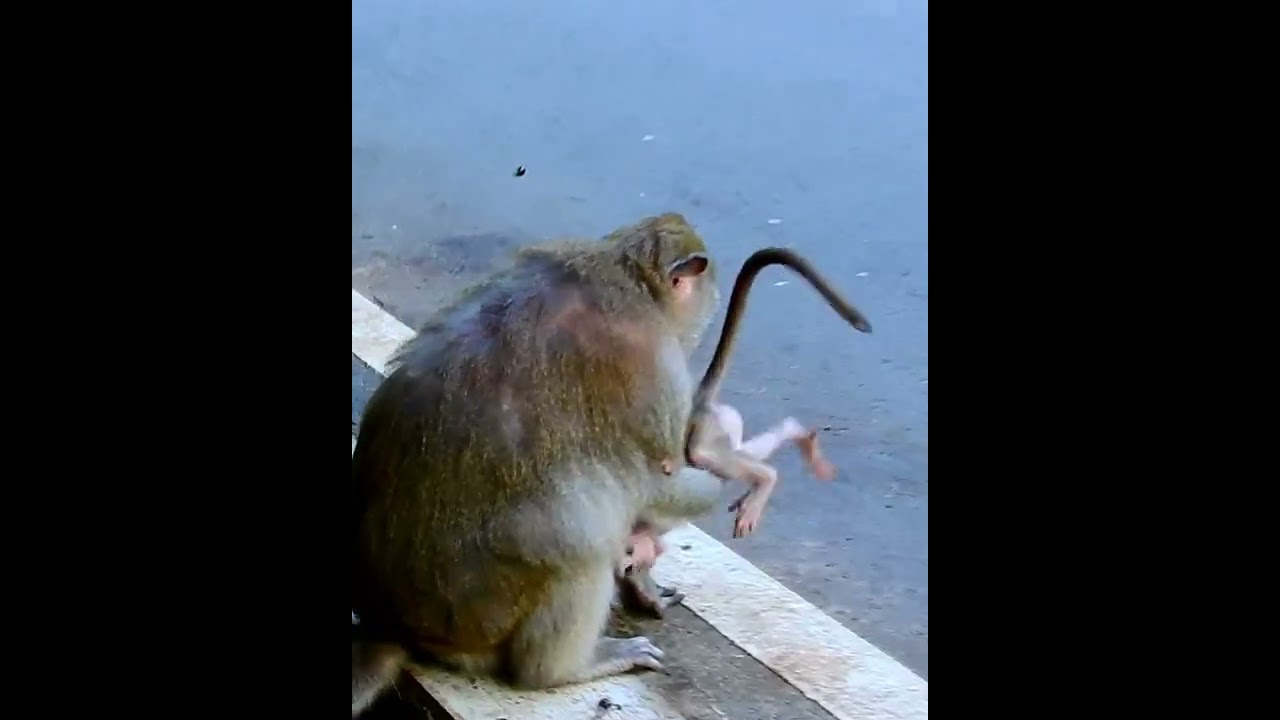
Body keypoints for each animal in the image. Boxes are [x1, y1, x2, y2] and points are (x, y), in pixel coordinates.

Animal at [352, 212, 731, 715]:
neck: (627, 275)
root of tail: (393, 625)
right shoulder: (657, 366)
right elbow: (657, 483)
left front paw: (643, 580)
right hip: (489, 617)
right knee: (580, 535)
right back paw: (564, 668)